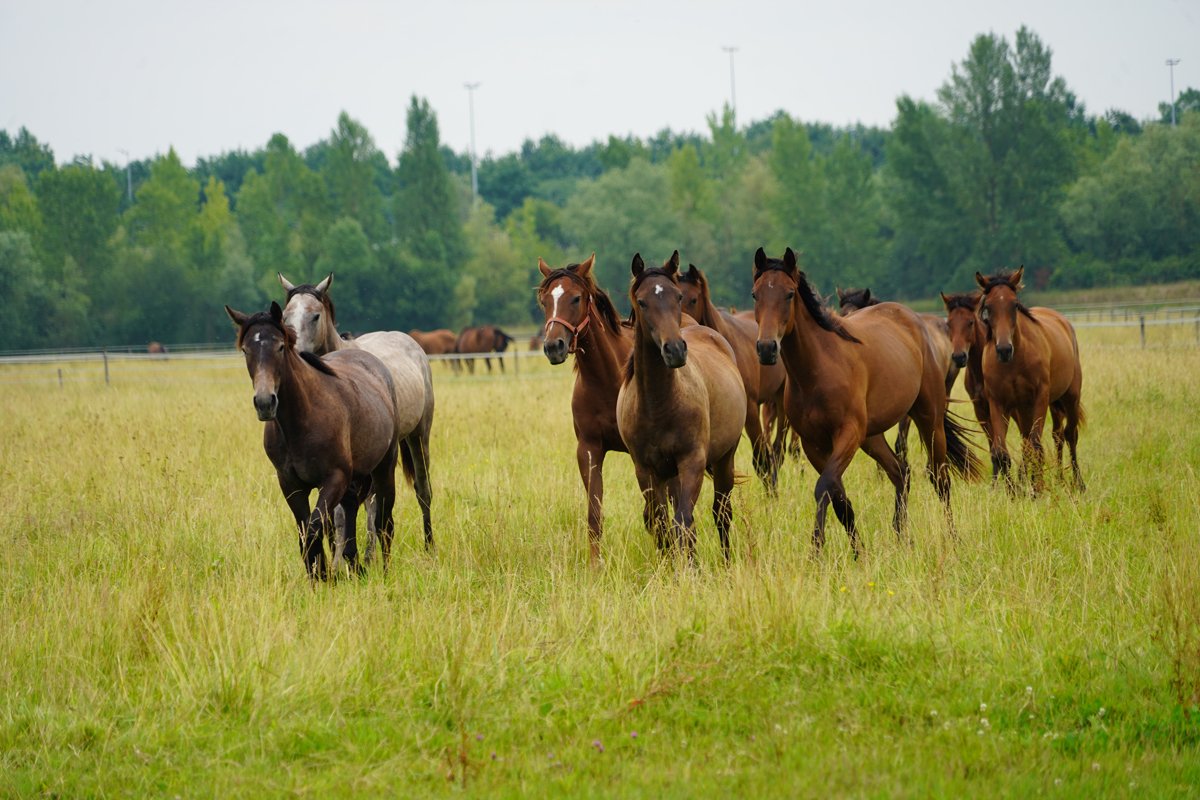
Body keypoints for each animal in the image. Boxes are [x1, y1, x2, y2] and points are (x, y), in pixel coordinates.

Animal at [225, 302, 400, 580]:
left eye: (280, 346)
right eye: (245, 350)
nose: (265, 402)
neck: (301, 420)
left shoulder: (333, 479)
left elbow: (315, 527)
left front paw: (324, 576)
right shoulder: (290, 485)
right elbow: (305, 531)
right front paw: (320, 576)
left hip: (384, 468)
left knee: (384, 521)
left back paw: (382, 570)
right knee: (351, 509)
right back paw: (354, 564)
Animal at [277, 273, 435, 551]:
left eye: (315, 316)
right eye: (286, 317)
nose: (298, 354)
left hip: (418, 436)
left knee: (421, 490)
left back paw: (428, 548)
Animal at [537, 253, 638, 563]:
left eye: (576, 298)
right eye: (544, 300)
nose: (553, 346)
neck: (608, 379)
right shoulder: (589, 449)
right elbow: (594, 515)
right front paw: (595, 565)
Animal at [617, 252, 747, 562]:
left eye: (677, 296)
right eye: (642, 302)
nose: (675, 350)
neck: (658, 405)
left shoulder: (692, 461)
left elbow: (683, 522)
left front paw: (690, 568)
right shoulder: (646, 470)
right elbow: (662, 523)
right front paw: (670, 567)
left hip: (725, 459)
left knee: (721, 513)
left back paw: (726, 562)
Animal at [973, 267, 1085, 495]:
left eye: (1014, 304)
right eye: (987, 307)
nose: (1004, 350)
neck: (1014, 362)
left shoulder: (1039, 398)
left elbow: (1036, 445)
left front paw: (1037, 489)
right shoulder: (998, 403)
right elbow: (1001, 452)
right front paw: (1014, 492)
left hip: (1070, 397)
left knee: (1070, 435)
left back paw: (1078, 483)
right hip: (1027, 409)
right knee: (1052, 437)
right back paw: (1056, 480)